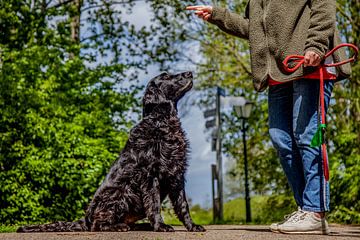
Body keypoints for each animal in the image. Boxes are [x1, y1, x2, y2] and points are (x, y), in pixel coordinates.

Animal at [17, 71, 205, 232]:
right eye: (165, 76)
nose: (190, 73)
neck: (161, 123)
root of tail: (85, 219)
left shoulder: (177, 174)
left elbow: (183, 205)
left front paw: (192, 226)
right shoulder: (150, 175)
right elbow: (154, 204)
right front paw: (161, 226)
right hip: (120, 193)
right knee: (98, 224)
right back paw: (119, 226)